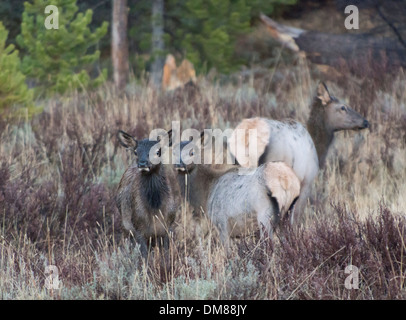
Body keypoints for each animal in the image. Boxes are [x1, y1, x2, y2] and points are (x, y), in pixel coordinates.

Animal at [230, 81, 370, 224]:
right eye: (343, 107)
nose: (365, 121)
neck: (318, 148)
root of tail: (247, 135)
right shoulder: (306, 181)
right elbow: (294, 218)